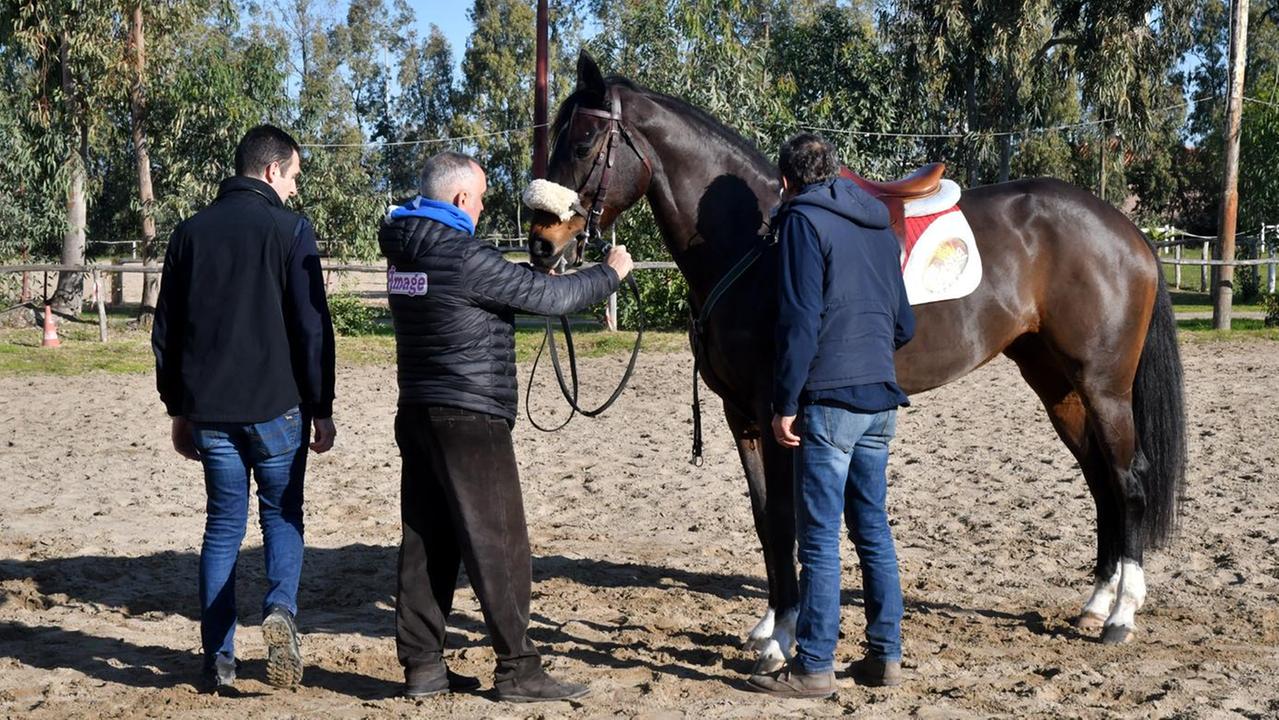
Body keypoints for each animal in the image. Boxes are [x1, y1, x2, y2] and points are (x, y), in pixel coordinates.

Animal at [527, 52, 1186, 671]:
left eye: (582, 142)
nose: (540, 243)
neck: (754, 243)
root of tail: (1124, 228)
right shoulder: (742, 416)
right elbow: (767, 519)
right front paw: (772, 625)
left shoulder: (779, 412)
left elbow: (787, 519)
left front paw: (783, 639)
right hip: (1057, 385)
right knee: (1100, 480)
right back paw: (1096, 602)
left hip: (1104, 387)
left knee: (1128, 480)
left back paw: (1121, 615)